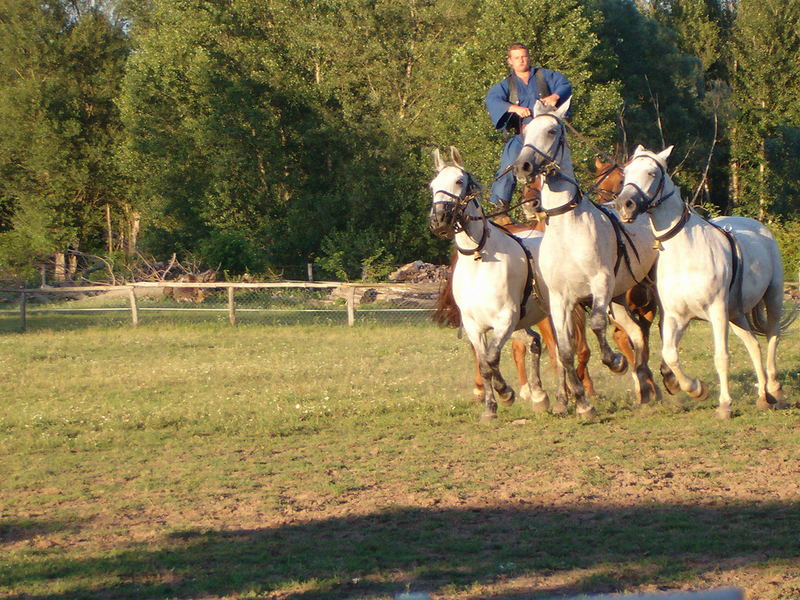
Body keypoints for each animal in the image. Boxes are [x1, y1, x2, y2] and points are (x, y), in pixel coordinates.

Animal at [432, 147, 552, 420]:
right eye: (433, 186)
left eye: (459, 181)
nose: (439, 219)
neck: (479, 261)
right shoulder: (473, 325)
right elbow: (484, 363)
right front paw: (491, 406)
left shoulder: (505, 320)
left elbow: (491, 358)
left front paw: (505, 393)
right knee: (535, 343)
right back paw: (540, 396)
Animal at [516, 98, 660, 418]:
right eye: (526, 131)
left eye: (552, 130)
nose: (523, 166)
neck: (568, 228)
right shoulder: (560, 300)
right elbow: (566, 350)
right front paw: (579, 403)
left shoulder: (600, 287)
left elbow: (596, 327)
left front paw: (615, 362)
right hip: (618, 300)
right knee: (636, 334)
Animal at [616, 144, 792, 418]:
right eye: (626, 173)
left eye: (651, 173)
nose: (625, 205)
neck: (685, 254)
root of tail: (758, 226)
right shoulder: (677, 317)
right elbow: (670, 354)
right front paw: (697, 389)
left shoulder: (717, 312)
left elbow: (721, 357)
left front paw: (725, 405)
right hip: (736, 314)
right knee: (754, 344)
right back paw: (764, 396)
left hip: (771, 298)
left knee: (773, 337)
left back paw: (775, 390)